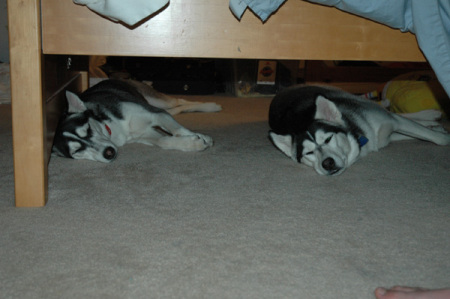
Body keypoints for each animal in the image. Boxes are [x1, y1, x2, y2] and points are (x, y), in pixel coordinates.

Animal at [52, 79, 221, 163]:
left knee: (180, 101)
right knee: (178, 109)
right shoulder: (144, 134)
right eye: (76, 151)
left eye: (87, 129)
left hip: (157, 101)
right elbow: (165, 141)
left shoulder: (156, 114)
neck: (113, 128)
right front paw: (192, 143)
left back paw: (211, 106)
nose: (109, 153)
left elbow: (178, 130)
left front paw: (202, 138)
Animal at [268, 84, 448, 176]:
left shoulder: (392, 122)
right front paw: (438, 129)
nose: (327, 163)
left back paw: (430, 114)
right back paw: (433, 120)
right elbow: (418, 134)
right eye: (309, 153)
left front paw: (443, 136)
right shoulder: (384, 137)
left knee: (390, 110)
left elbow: (432, 137)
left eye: (328, 139)